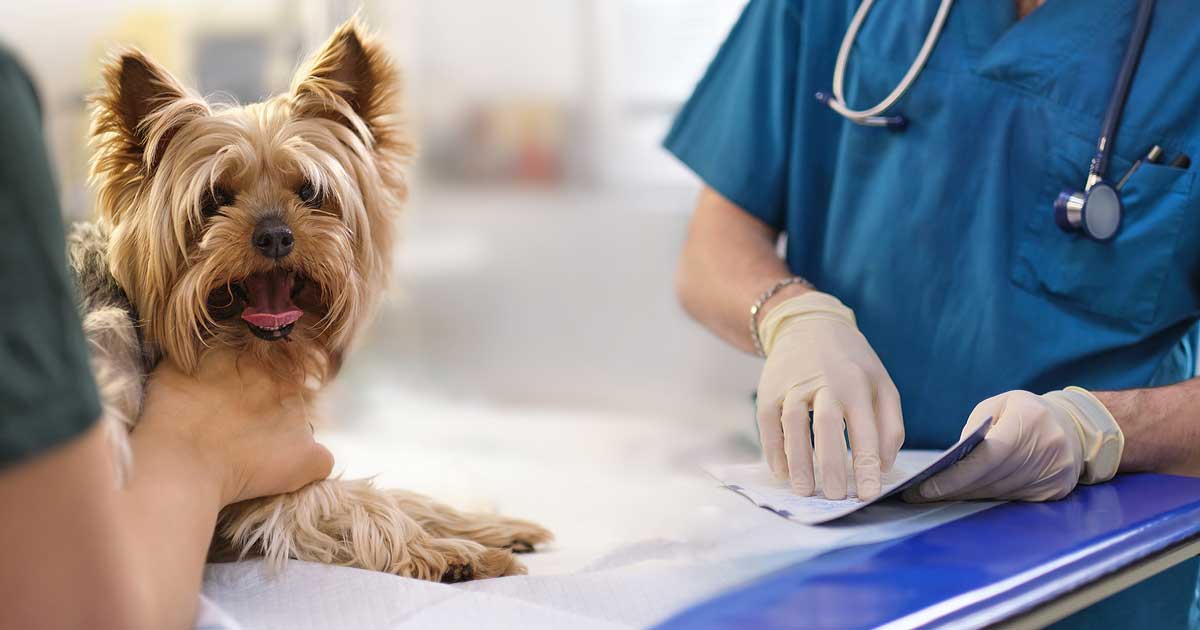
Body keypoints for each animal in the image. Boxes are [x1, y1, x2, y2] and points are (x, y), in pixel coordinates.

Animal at [69, 18, 549, 580]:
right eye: (214, 200)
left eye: (311, 193)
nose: (275, 235)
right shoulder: (253, 485)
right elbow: (346, 500)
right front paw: (448, 551)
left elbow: (405, 495)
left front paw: (482, 525)